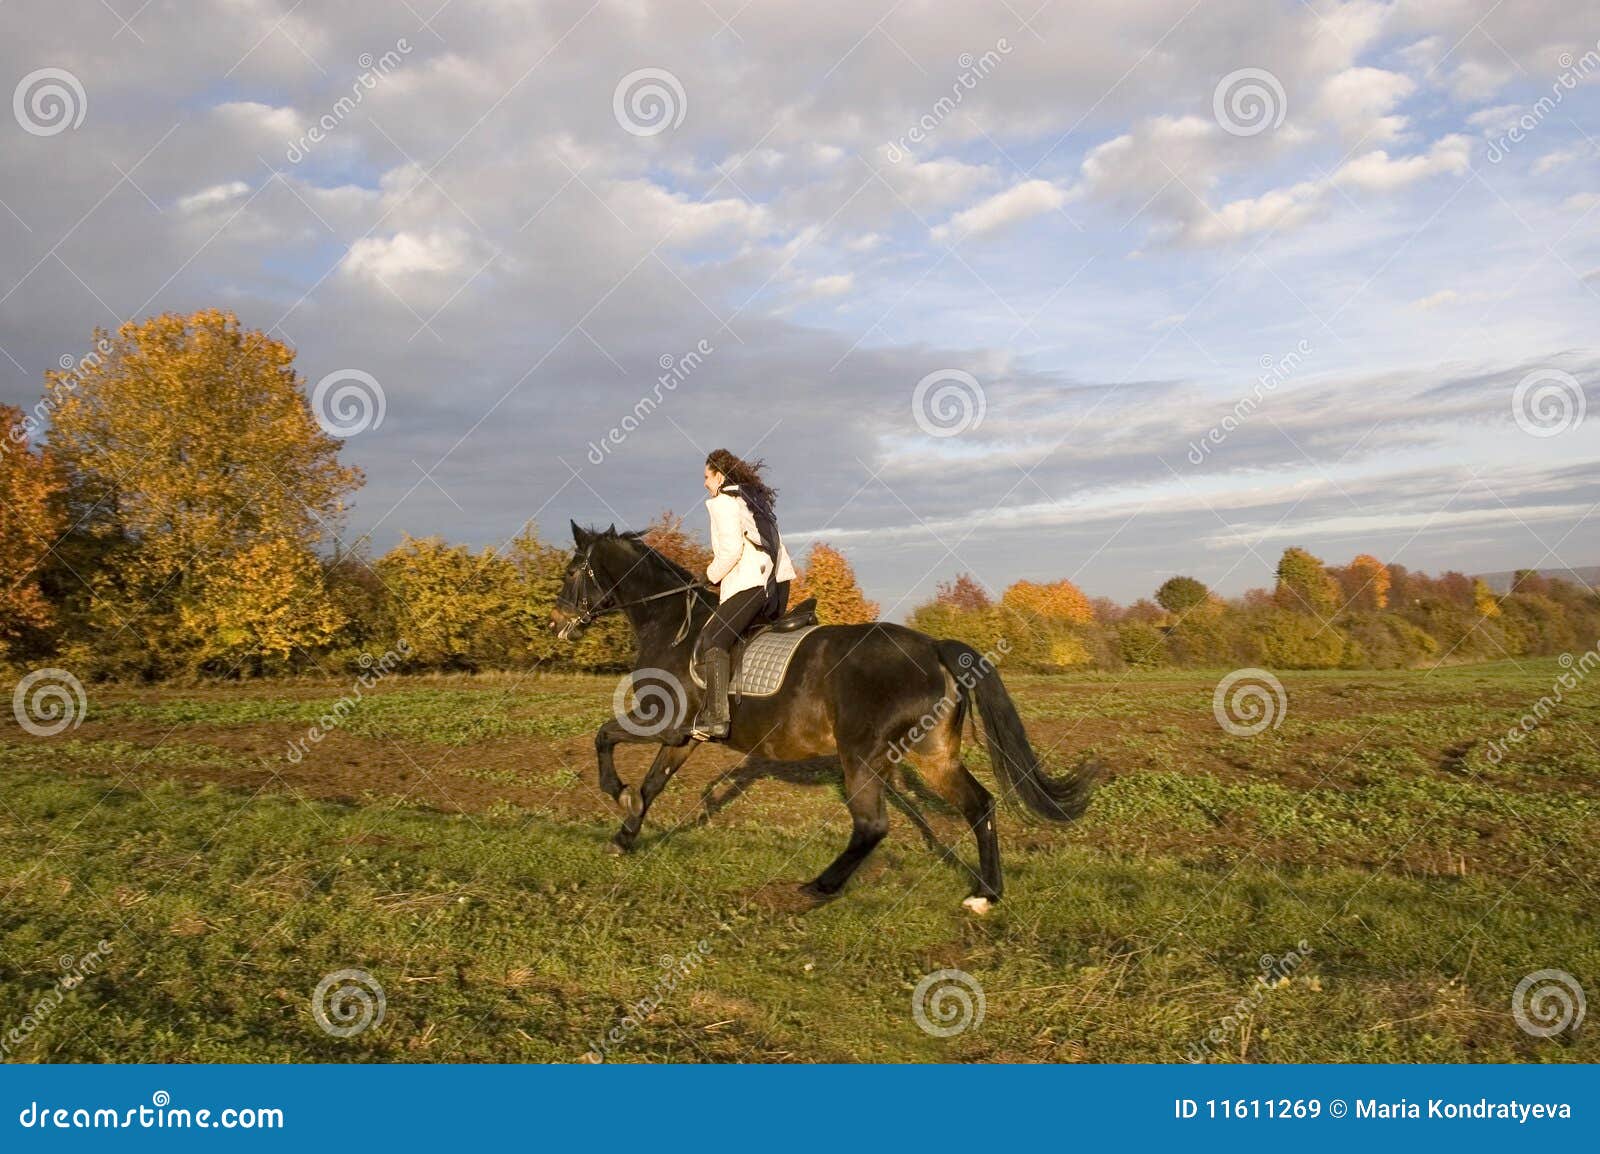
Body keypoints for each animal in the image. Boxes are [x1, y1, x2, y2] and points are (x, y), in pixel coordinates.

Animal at [553, 521, 1100, 909]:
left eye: (573, 570)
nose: (558, 623)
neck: (673, 626)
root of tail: (933, 648)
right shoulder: (682, 738)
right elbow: (652, 785)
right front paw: (624, 836)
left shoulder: (658, 720)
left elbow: (604, 738)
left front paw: (614, 792)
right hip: (932, 754)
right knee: (980, 805)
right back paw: (985, 895)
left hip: (860, 754)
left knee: (872, 826)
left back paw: (819, 887)